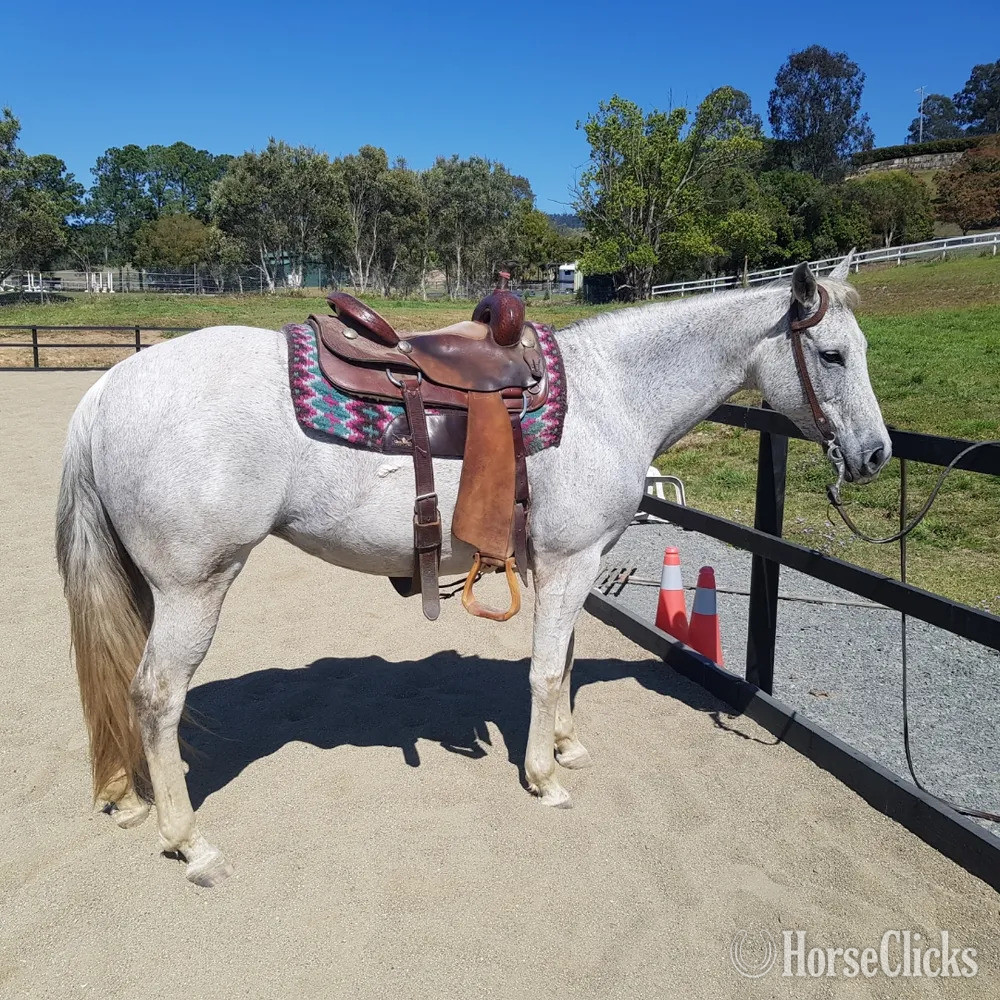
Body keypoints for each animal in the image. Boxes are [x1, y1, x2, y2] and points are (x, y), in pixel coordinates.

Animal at [56, 256, 891, 886]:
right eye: (833, 355)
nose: (877, 454)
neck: (611, 397)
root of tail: (103, 392)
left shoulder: (569, 563)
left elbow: (567, 659)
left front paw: (565, 745)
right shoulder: (569, 561)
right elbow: (546, 671)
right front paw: (545, 776)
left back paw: (128, 797)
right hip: (194, 588)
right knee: (155, 696)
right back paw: (189, 841)